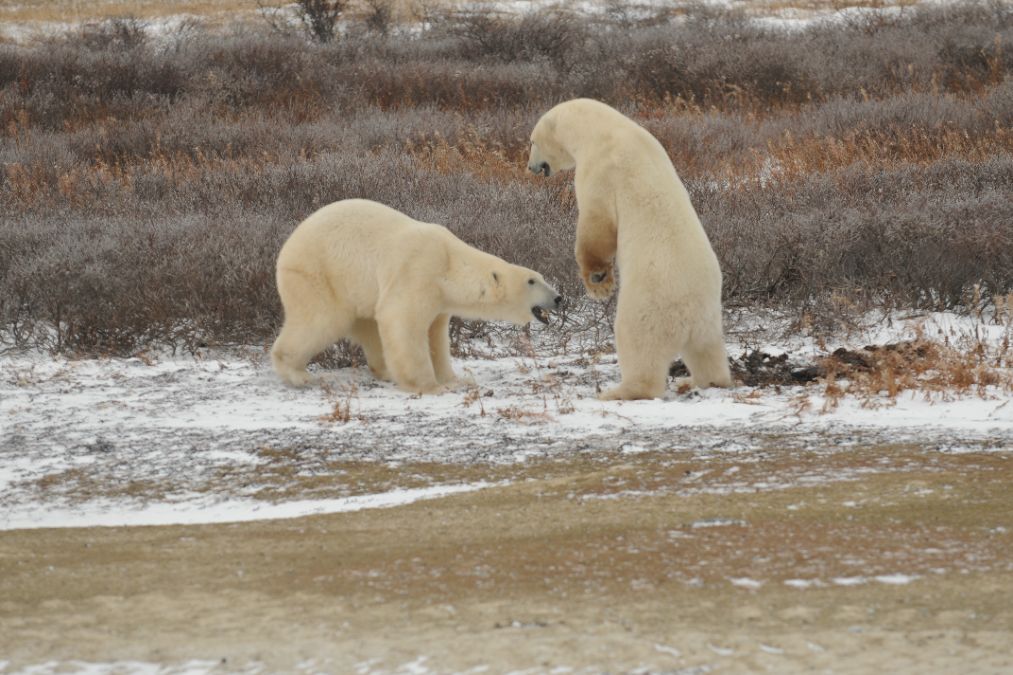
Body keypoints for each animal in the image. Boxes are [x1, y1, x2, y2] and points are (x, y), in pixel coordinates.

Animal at [270, 199, 561, 394]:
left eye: (541, 277)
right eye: (532, 280)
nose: (558, 298)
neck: (449, 264)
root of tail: (287, 246)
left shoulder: (440, 299)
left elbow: (435, 336)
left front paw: (455, 379)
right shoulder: (418, 271)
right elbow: (403, 322)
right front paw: (431, 386)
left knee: (369, 326)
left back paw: (385, 371)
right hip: (319, 275)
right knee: (320, 320)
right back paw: (298, 374)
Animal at [527, 98, 732, 400]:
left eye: (532, 141)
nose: (531, 167)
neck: (603, 129)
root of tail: (690, 317)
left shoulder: (601, 169)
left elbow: (597, 225)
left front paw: (598, 283)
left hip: (648, 304)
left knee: (637, 343)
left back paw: (619, 391)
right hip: (710, 319)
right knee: (708, 353)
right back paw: (700, 381)